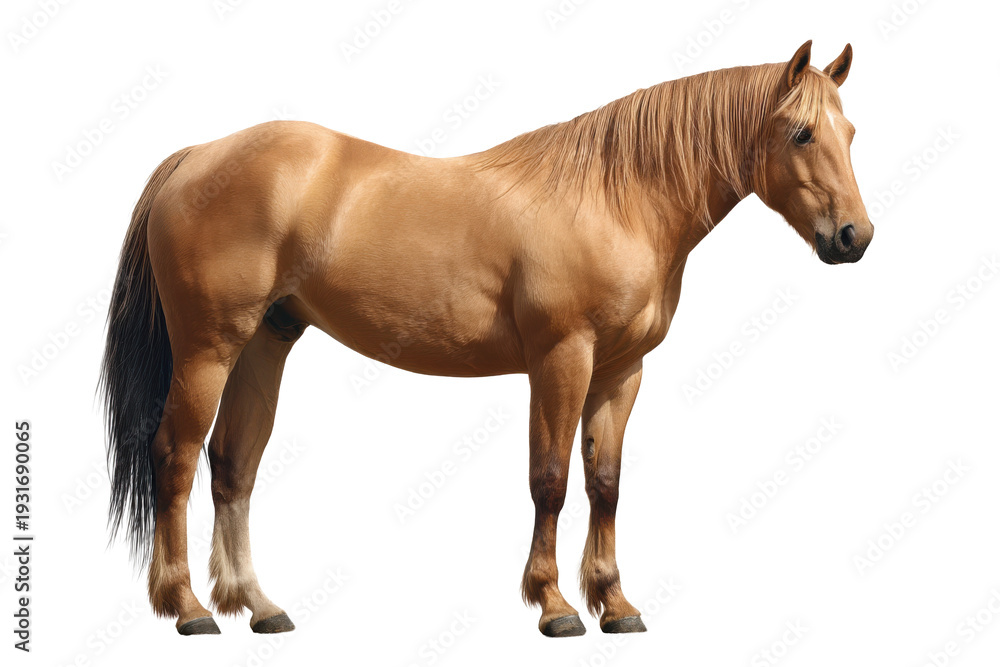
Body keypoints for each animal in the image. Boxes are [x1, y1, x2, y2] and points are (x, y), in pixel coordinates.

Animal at [100, 40, 872, 638]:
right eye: (802, 134)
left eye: (852, 134)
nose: (853, 237)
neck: (616, 197)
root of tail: (197, 155)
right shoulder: (562, 358)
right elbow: (551, 480)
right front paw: (555, 605)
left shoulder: (620, 371)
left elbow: (606, 483)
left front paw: (615, 604)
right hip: (208, 348)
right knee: (175, 458)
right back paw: (189, 607)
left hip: (265, 342)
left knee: (233, 463)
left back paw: (258, 606)